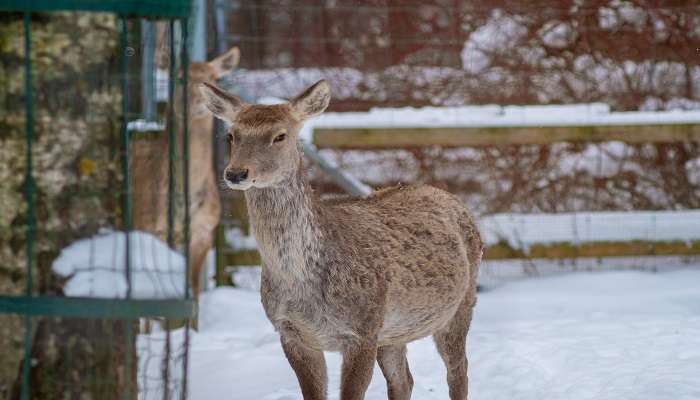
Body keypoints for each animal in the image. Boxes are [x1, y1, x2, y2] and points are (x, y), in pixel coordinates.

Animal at [131, 46, 241, 300]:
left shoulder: (204, 231)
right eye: (179, 77)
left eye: (213, 78)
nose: (197, 98)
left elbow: (194, 289)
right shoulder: (150, 227)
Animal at [197, 79, 482, 400]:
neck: (302, 285)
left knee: (459, 370)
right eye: (232, 135)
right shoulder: (291, 332)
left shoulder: (362, 330)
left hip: (460, 305)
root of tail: (452, 198)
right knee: (403, 379)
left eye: (280, 135)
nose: (236, 173)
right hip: (393, 332)